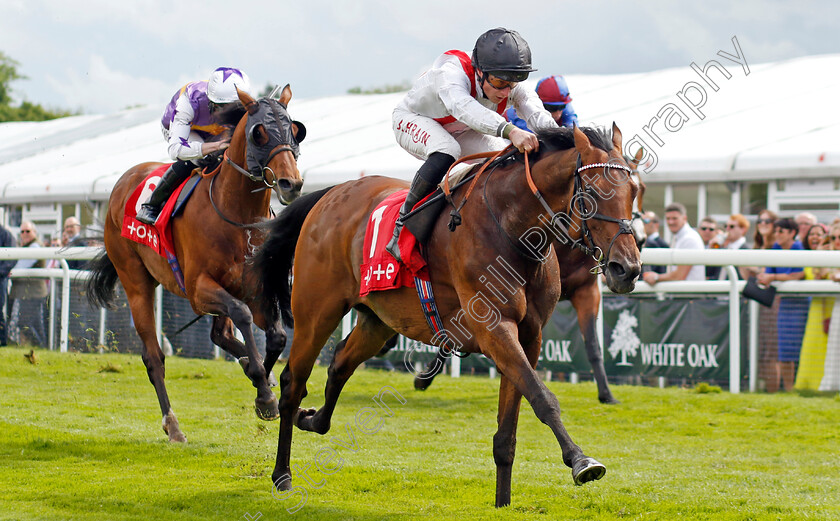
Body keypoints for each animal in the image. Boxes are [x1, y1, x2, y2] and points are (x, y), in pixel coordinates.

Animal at [84, 87, 306, 440]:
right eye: (259, 133)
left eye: (295, 131)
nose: (291, 184)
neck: (237, 216)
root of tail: (125, 180)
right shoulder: (199, 289)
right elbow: (243, 316)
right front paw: (264, 391)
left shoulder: (255, 288)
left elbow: (277, 336)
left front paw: (262, 383)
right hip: (135, 283)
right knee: (154, 357)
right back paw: (173, 425)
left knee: (219, 335)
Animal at [410, 146, 652, 402]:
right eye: (593, 191)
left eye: (638, 190)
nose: (639, 239)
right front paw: (424, 377)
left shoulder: (586, 291)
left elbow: (593, 345)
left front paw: (606, 393)